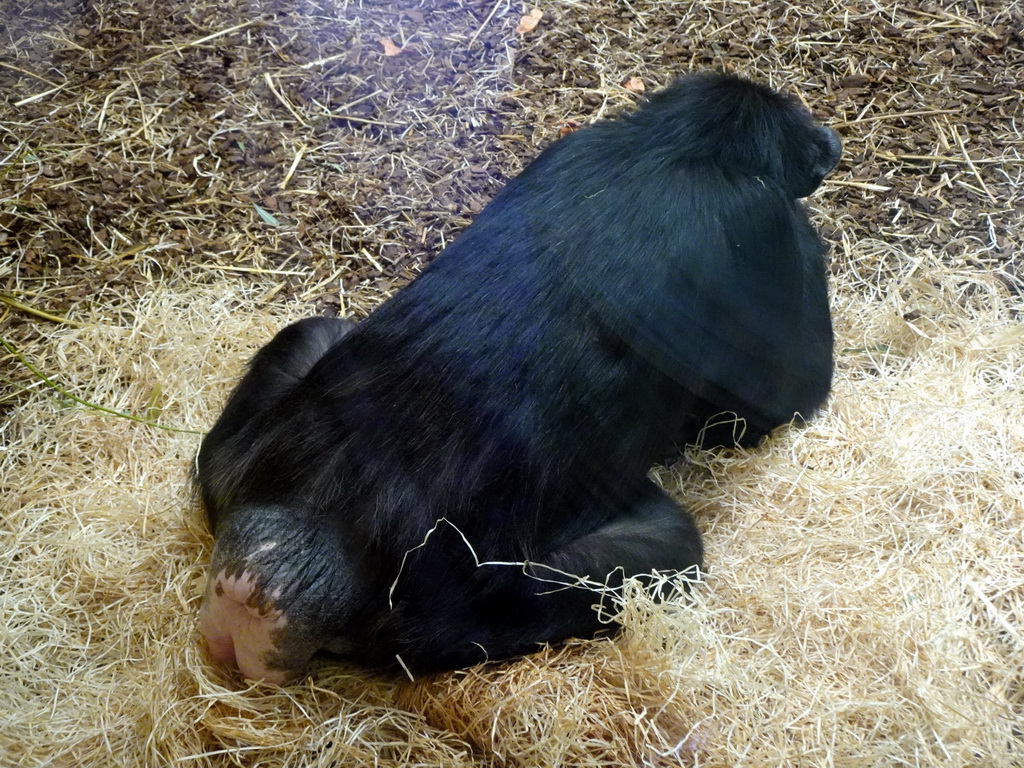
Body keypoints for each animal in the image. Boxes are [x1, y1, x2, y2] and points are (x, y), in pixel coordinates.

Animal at [195, 73, 843, 684]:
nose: (830, 140)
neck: (674, 146)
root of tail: (281, 563)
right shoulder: (757, 224)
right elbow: (782, 394)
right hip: (463, 612)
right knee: (667, 546)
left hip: (234, 463)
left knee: (311, 332)